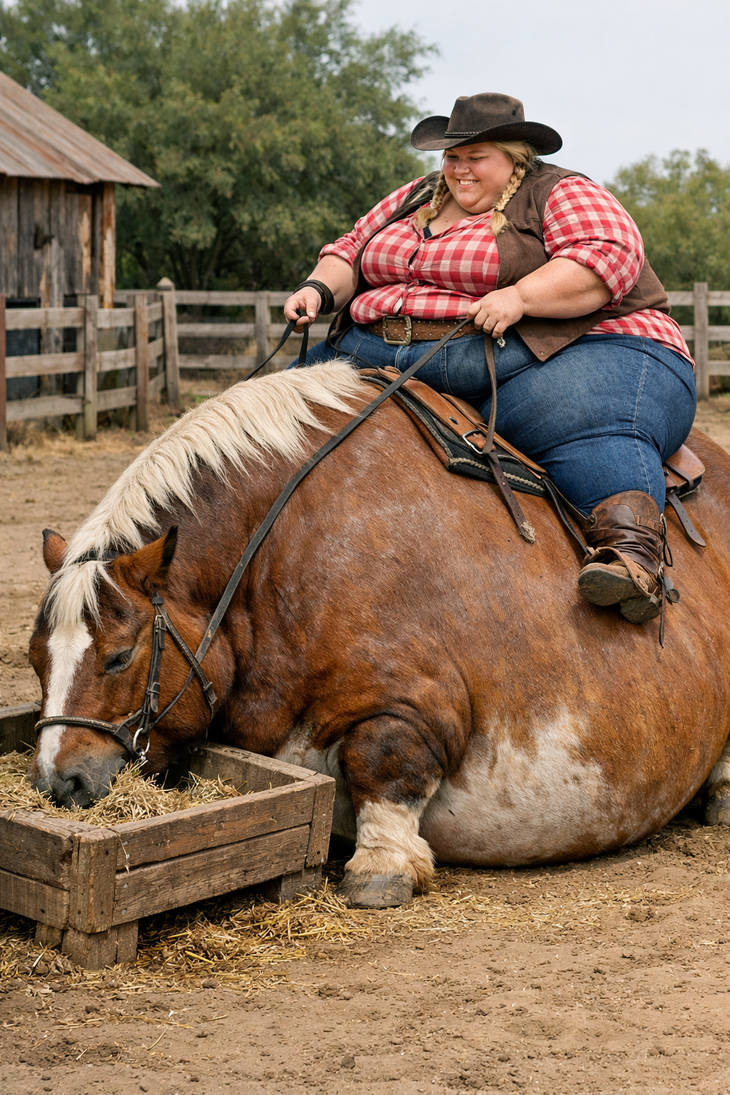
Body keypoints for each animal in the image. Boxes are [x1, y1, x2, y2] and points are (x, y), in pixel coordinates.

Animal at [28, 360, 730, 908]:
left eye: (119, 657)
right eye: (35, 661)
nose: (57, 783)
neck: (277, 551)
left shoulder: (416, 703)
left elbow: (383, 759)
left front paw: (381, 862)